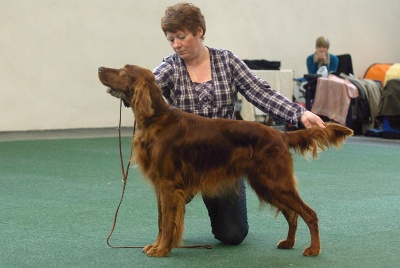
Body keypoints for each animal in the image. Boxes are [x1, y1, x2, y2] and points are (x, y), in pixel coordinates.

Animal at [98, 64, 352, 258]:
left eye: (123, 71)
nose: (100, 68)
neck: (157, 119)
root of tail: (280, 134)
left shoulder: (169, 185)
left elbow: (168, 222)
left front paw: (161, 250)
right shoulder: (161, 186)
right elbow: (162, 221)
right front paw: (157, 245)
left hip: (276, 182)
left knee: (309, 213)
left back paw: (313, 249)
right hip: (266, 184)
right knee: (292, 214)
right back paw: (288, 243)